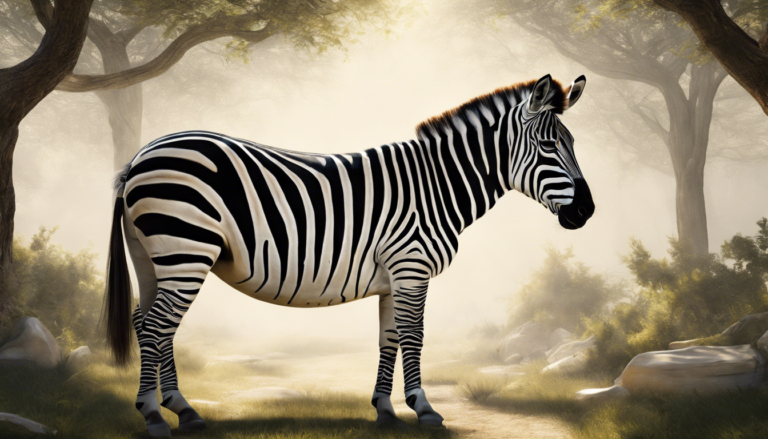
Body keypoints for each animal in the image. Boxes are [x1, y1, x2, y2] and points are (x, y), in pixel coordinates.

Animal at [104, 74, 594, 436]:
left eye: (573, 144)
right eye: (550, 147)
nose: (587, 211)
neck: (436, 185)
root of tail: (141, 156)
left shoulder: (394, 276)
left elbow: (389, 338)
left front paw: (385, 411)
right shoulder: (412, 266)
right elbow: (414, 336)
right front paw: (424, 408)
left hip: (153, 256)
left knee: (148, 322)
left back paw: (183, 411)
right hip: (186, 249)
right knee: (157, 326)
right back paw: (154, 415)